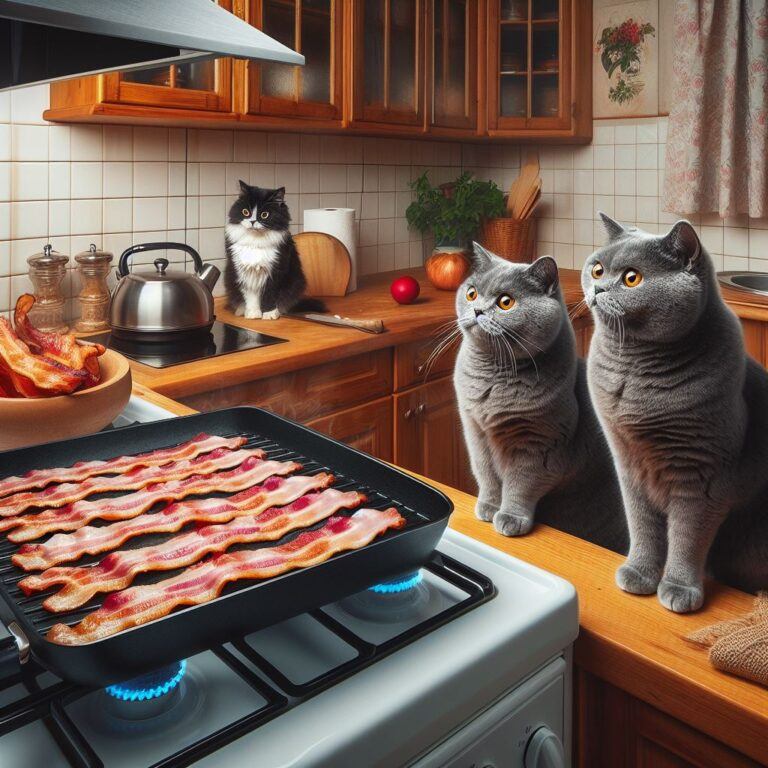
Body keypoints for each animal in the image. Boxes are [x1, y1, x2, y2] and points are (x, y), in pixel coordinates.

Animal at [224, 182, 322, 320]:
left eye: (264, 215)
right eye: (245, 212)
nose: (252, 221)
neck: (256, 242)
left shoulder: (276, 271)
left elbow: (270, 294)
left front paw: (269, 313)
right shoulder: (244, 272)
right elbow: (251, 296)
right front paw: (253, 313)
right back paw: (241, 310)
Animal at [452, 242, 628, 552]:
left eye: (506, 302)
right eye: (471, 293)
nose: (477, 309)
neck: (494, 377)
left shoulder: (539, 445)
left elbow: (521, 484)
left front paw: (510, 518)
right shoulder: (475, 432)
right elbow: (485, 473)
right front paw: (487, 507)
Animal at [584, 214, 768, 612]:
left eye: (632, 278)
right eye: (597, 269)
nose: (598, 288)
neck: (633, 373)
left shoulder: (703, 475)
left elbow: (688, 535)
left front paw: (679, 589)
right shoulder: (627, 463)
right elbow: (643, 525)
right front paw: (638, 574)